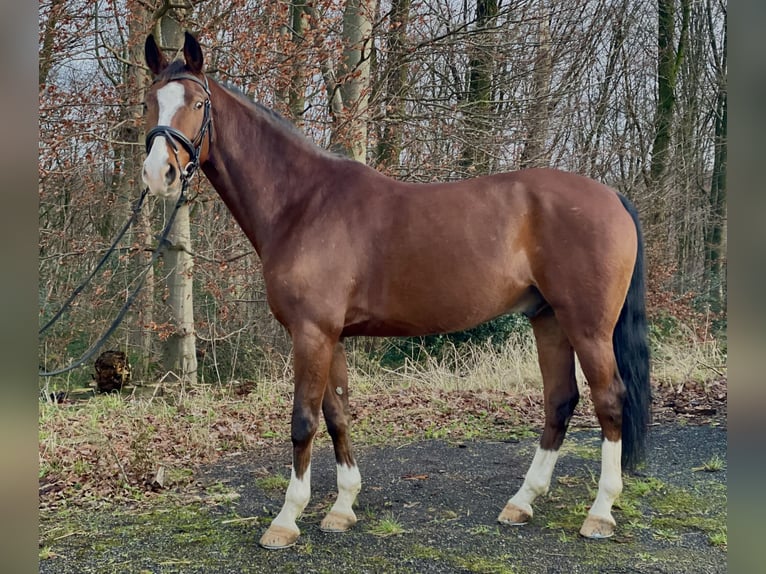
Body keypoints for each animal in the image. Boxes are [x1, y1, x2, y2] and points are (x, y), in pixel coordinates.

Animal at [141, 32, 652, 552]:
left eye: (197, 103)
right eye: (149, 102)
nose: (158, 173)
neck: (302, 204)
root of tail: (612, 197)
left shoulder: (311, 333)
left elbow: (303, 421)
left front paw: (286, 519)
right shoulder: (330, 336)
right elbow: (337, 414)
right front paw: (343, 507)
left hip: (588, 326)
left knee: (610, 400)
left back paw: (600, 512)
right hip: (548, 318)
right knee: (560, 400)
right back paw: (522, 502)